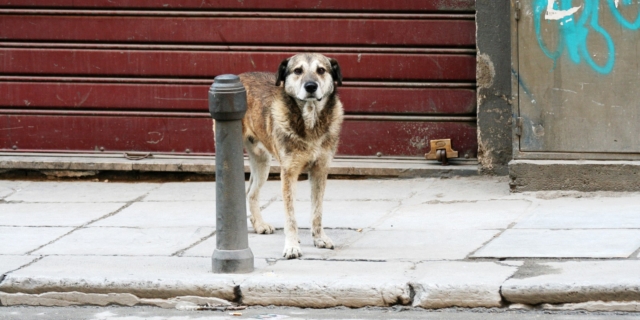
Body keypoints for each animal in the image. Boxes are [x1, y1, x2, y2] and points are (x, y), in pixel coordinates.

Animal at [239, 52, 344, 258]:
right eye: (297, 70)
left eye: (321, 70)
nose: (310, 86)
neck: (310, 121)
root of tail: (240, 75)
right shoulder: (289, 173)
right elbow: (290, 217)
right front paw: (292, 246)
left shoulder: (320, 170)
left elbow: (317, 211)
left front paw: (319, 239)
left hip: (262, 162)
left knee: (251, 192)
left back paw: (259, 225)